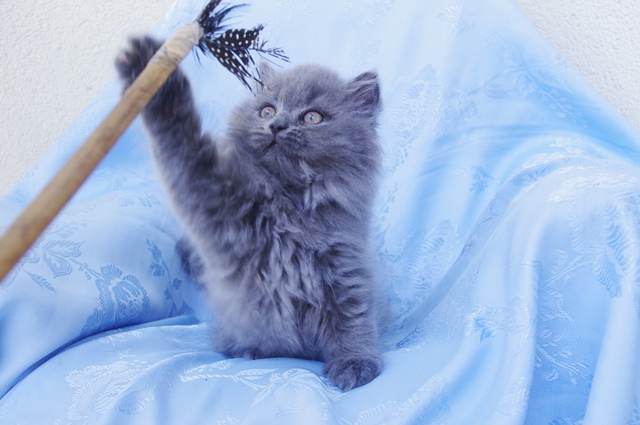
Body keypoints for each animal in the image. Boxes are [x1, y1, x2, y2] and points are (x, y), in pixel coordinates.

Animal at [116, 36, 384, 391]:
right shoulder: (211, 196)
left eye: (312, 118)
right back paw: (248, 350)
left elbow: (352, 321)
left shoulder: (346, 269)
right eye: (267, 110)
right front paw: (155, 73)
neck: (288, 206)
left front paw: (355, 363)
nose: (277, 125)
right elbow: (183, 147)